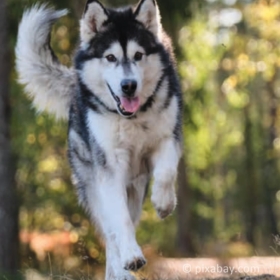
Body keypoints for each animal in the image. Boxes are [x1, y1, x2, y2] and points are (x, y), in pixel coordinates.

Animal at [15, 0, 183, 278]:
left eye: (138, 55)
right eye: (110, 57)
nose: (129, 85)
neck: (132, 118)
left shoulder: (168, 138)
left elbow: (166, 173)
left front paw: (163, 203)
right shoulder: (110, 168)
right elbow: (120, 222)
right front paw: (131, 257)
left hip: (135, 188)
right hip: (95, 185)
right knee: (112, 234)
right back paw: (122, 267)